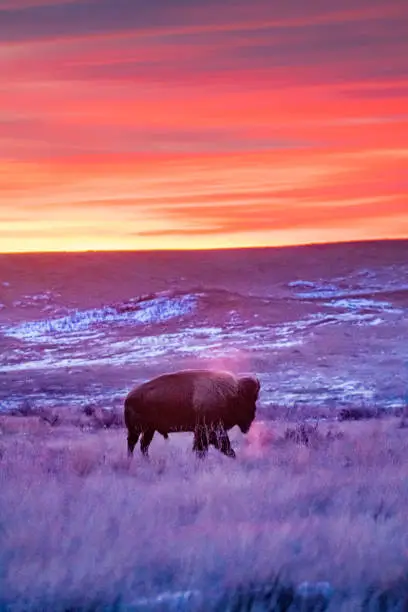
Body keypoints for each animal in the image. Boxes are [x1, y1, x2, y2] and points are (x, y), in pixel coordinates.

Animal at [122, 368, 262, 460]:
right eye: (251, 399)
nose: (253, 415)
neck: (232, 394)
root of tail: (128, 397)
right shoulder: (209, 431)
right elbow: (215, 447)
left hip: (149, 430)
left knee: (142, 445)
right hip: (138, 430)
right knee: (133, 444)